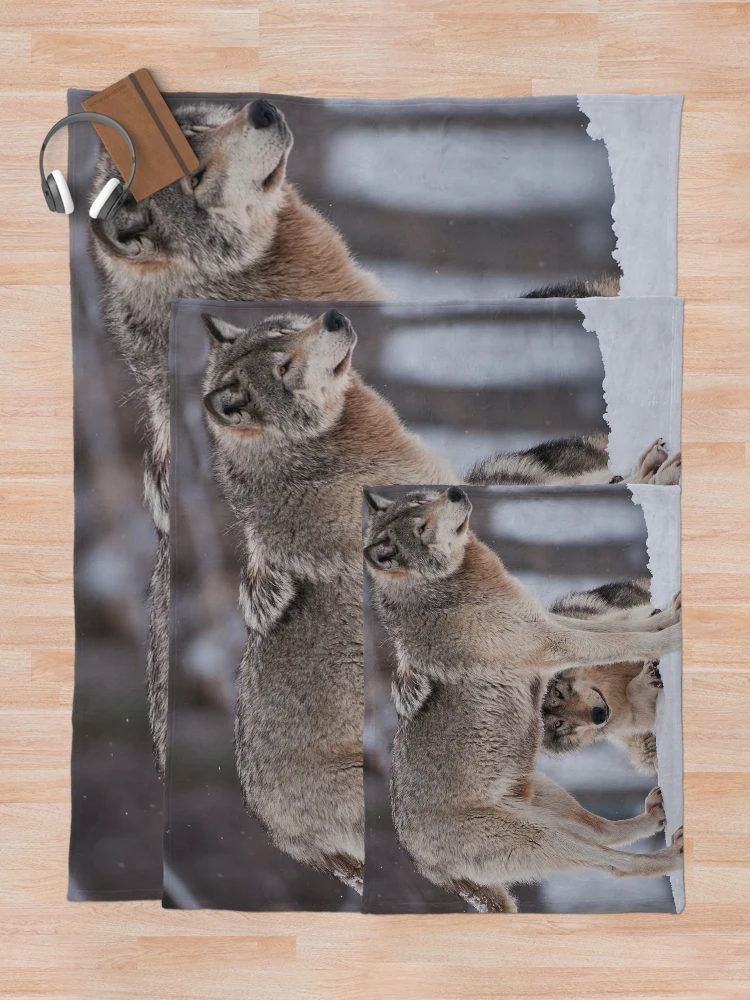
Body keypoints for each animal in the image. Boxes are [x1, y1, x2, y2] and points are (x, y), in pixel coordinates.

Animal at [541, 579, 675, 774]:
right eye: (559, 724)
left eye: (558, 693)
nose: (599, 715)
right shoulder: (634, 722)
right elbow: (633, 693)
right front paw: (648, 680)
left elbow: (629, 626)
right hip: (643, 753)